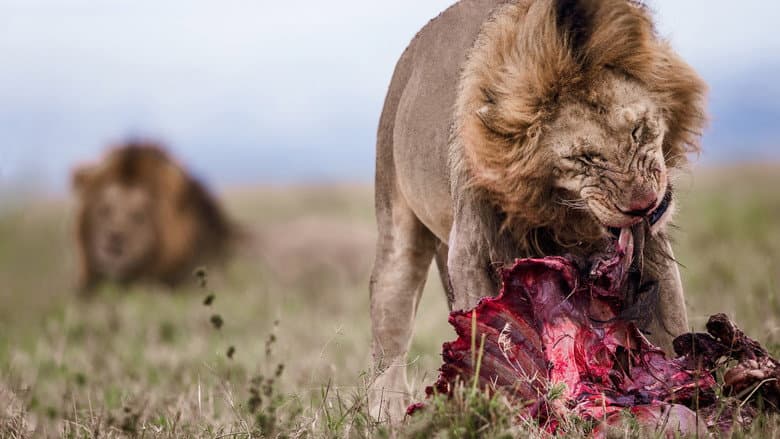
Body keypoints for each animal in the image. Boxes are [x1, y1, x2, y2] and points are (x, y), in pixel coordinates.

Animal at [369, 0, 707, 421]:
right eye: (584, 159)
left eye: (637, 130)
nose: (642, 204)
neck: (567, 210)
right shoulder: (470, 252)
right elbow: (485, 335)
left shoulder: (651, 245)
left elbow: (671, 321)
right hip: (397, 235)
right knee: (390, 334)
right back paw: (386, 415)